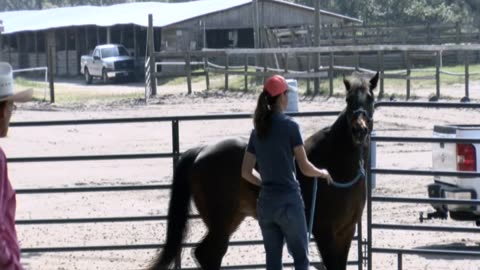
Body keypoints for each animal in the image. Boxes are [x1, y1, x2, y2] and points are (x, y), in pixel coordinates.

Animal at [149, 72, 378, 270]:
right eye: (348, 100)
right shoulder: (325, 233)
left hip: (231, 219)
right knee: (209, 254)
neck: (337, 165)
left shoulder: (345, 233)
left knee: (206, 254)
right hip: (221, 222)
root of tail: (200, 152)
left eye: (370, 99)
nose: (359, 130)